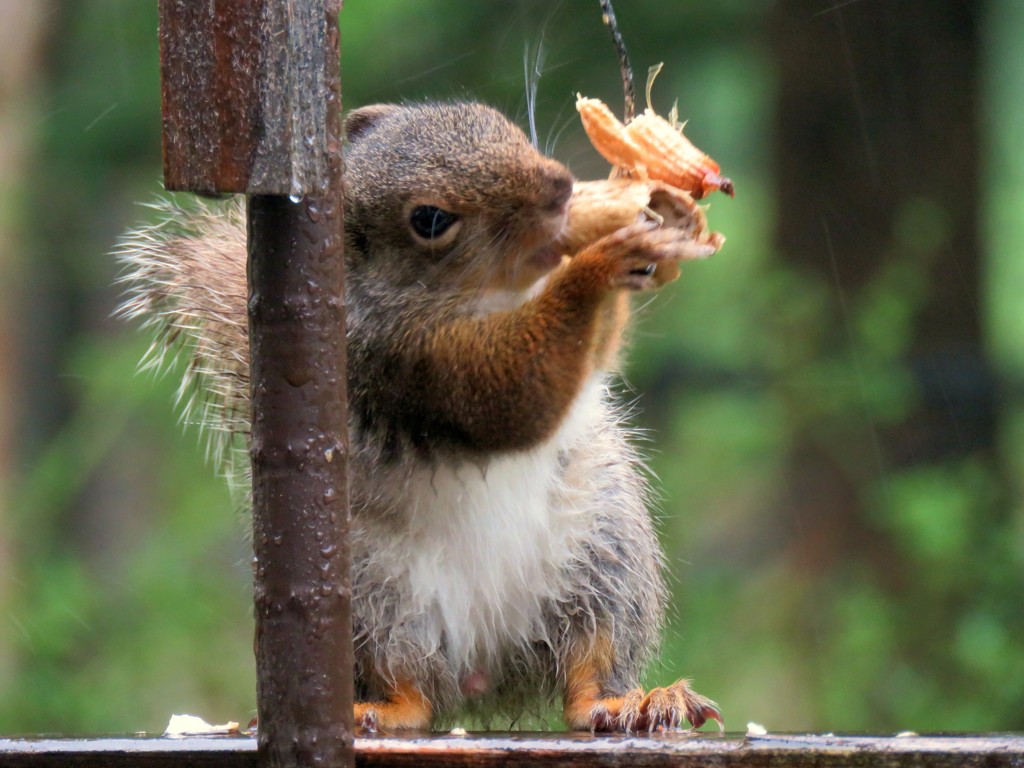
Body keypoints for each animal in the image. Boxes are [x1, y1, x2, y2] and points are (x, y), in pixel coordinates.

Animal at [117, 100, 720, 733]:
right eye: (430, 220)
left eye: (491, 118)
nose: (559, 188)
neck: (494, 296)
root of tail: (486, 668)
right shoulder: (404, 363)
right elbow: (518, 396)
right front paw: (604, 258)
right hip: (372, 598)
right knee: (411, 686)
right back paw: (379, 709)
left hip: (604, 560)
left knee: (586, 672)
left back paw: (628, 702)